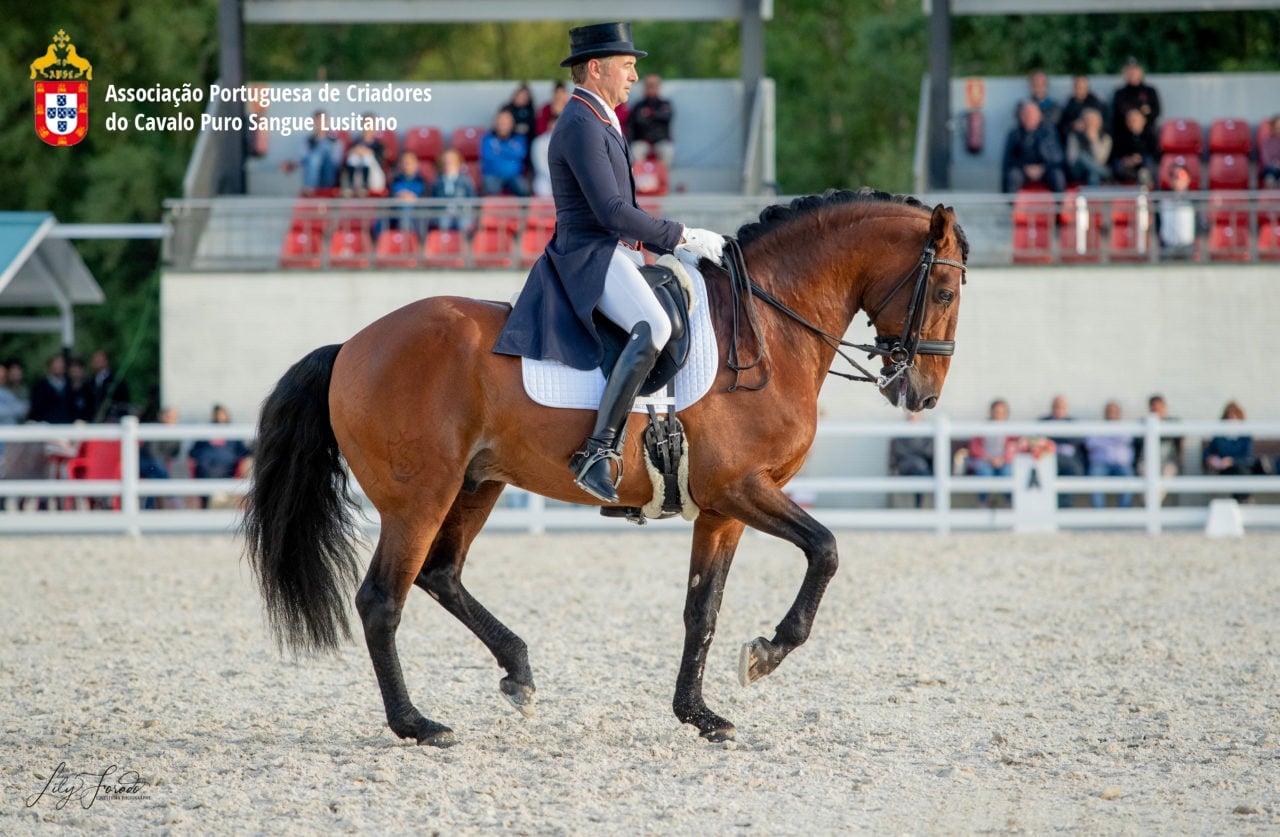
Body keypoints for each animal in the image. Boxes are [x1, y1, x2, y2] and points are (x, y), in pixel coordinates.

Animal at [240, 188, 962, 747]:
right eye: (946, 289)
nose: (922, 395)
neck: (768, 329)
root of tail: (351, 346)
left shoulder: (723, 509)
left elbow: (702, 609)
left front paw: (699, 714)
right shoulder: (742, 488)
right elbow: (827, 549)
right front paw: (767, 653)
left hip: (476, 485)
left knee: (440, 574)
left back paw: (518, 670)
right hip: (419, 497)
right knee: (382, 599)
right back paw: (417, 724)